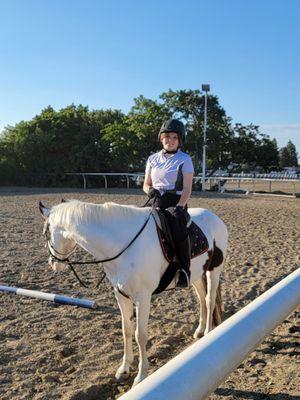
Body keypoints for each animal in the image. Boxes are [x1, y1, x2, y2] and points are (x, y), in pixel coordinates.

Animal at [39, 202, 227, 386]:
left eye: (46, 233)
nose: (52, 263)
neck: (122, 245)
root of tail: (215, 218)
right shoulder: (121, 295)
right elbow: (126, 330)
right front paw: (124, 368)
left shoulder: (143, 297)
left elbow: (140, 335)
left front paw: (141, 375)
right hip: (195, 275)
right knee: (201, 298)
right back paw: (199, 331)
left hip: (214, 270)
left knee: (209, 300)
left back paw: (208, 332)